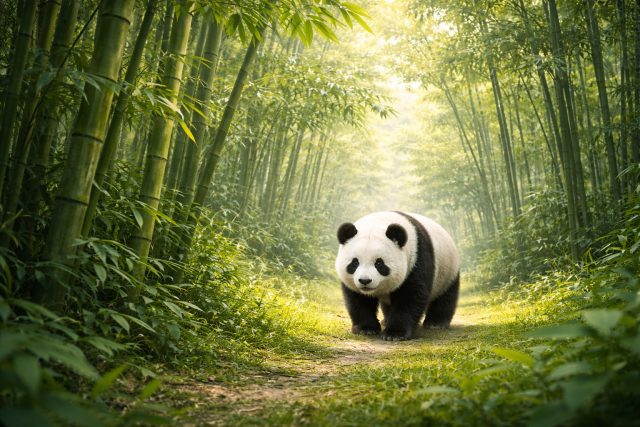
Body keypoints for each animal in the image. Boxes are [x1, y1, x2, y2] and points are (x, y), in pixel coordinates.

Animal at [335, 211, 460, 341]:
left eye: (379, 263)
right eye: (355, 263)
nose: (365, 281)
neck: (380, 222)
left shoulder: (417, 259)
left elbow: (410, 296)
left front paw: (395, 333)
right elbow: (358, 300)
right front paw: (366, 329)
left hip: (448, 271)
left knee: (445, 297)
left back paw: (436, 323)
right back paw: (386, 320)